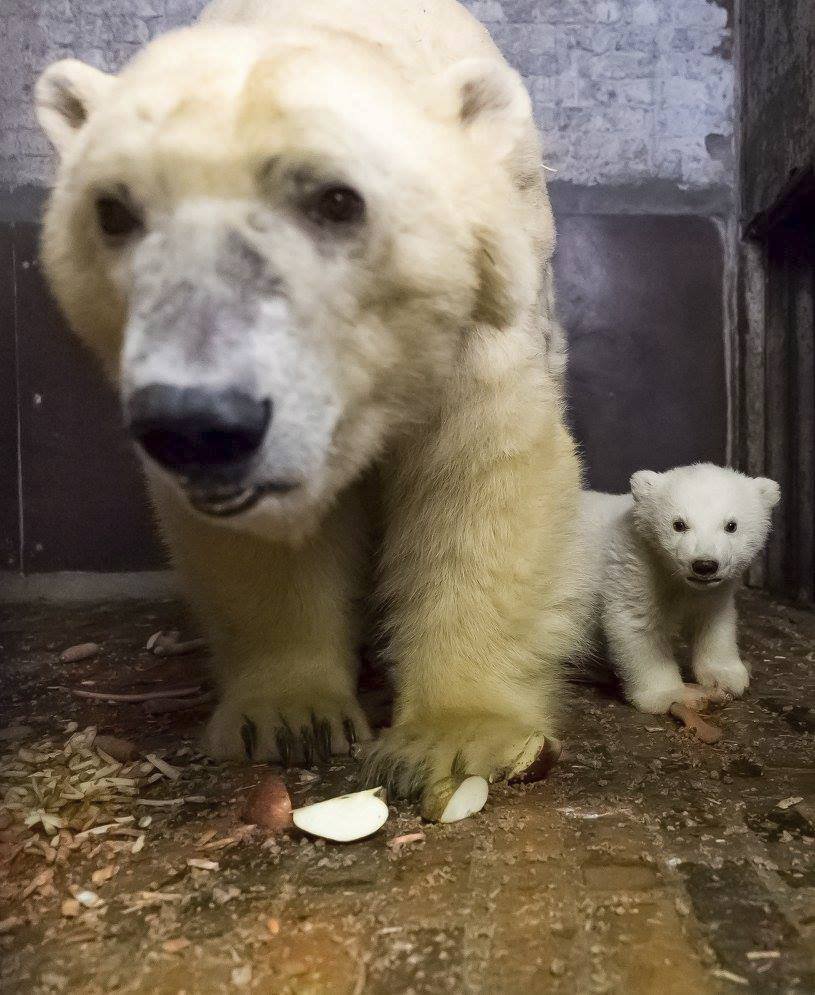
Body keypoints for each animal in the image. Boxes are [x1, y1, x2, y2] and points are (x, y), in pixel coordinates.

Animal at [33, 0, 588, 796]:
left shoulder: (479, 321)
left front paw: (454, 737)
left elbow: (479, 474)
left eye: (337, 200)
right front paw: (292, 716)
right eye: (112, 210)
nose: (197, 424)